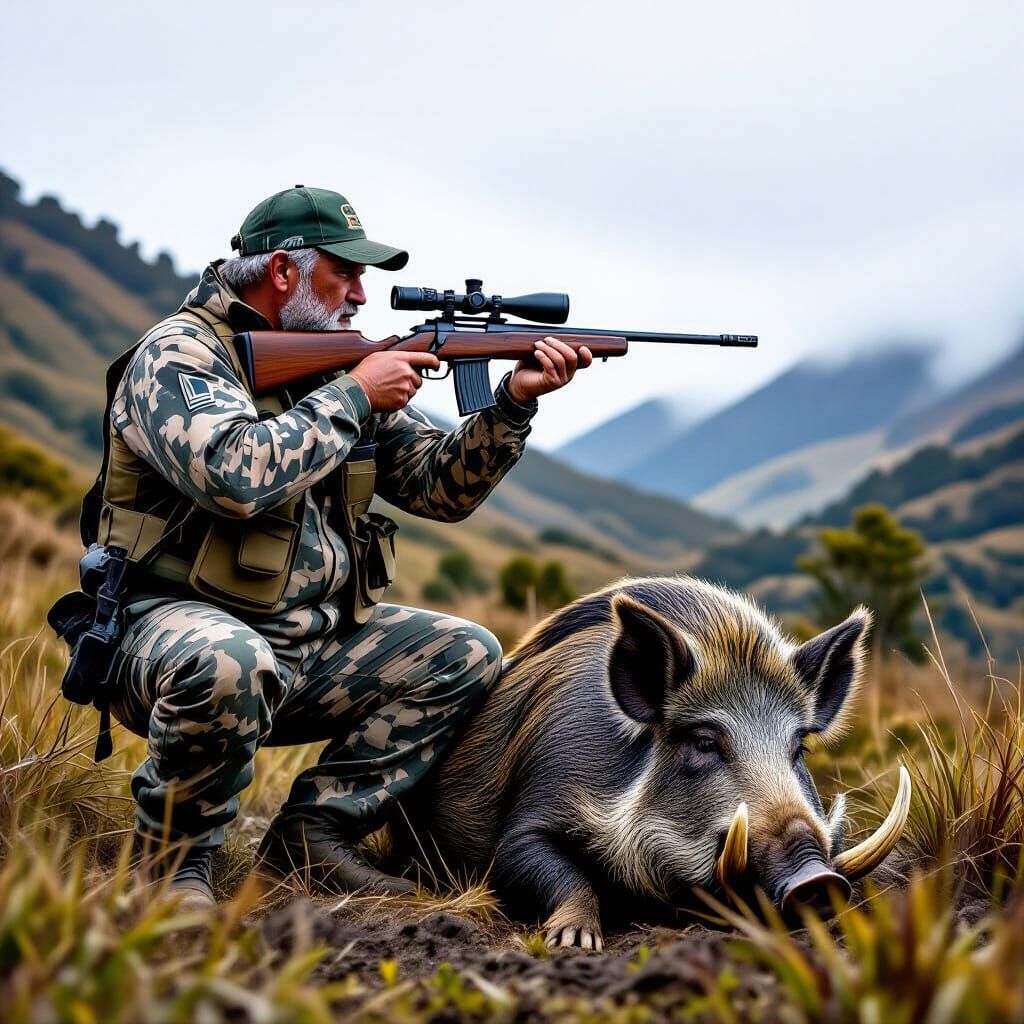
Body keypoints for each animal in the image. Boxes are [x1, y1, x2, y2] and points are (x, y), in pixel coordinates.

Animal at [416, 576, 911, 949]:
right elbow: (546, 865)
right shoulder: (532, 811)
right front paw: (575, 942)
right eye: (705, 741)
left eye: (798, 749)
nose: (817, 878)